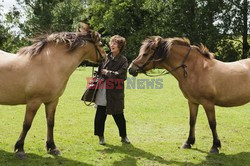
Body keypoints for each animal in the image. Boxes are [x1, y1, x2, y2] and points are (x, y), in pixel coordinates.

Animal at [0, 23, 106, 158]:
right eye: (101, 44)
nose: (105, 57)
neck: (50, 64)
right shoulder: (34, 102)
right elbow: (26, 124)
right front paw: (20, 148)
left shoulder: (52, 101)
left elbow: (51, 123)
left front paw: (52, 147)